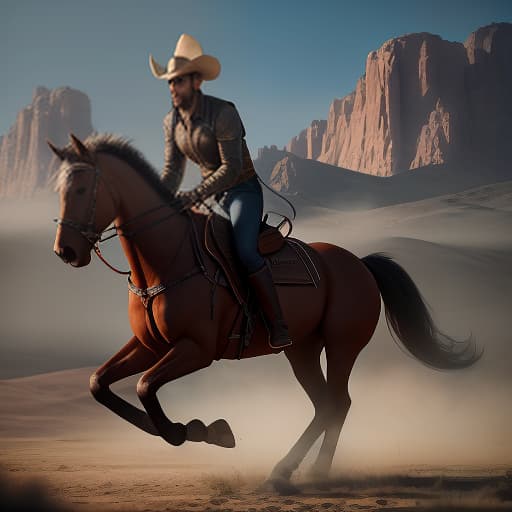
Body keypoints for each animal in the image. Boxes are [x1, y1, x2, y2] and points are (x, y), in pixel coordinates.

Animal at [48, 133, 480, 492]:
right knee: (325, 404)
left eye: (82, 188)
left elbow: (144, 386)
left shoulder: (196, 349)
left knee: (338, 402)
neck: (167, 259)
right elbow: (100, 384)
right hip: (302, 349)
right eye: (58, 190)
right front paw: (190, 429)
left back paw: (308, 472)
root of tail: (359, 263)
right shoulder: (149, 344)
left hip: (342, 346)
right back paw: (285, 471)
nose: (65, 251)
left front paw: (203, 430)